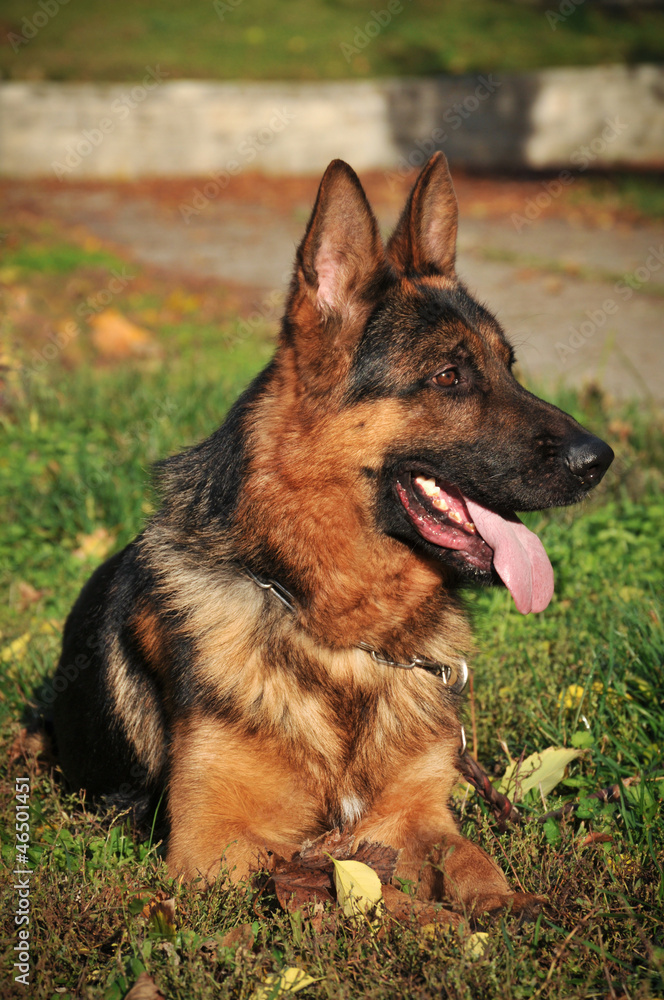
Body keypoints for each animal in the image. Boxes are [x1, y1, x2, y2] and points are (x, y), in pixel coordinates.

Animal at [52, 154, 612, 916]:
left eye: (509, 367)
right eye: (448, 375)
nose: (600, 459)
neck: (335, 630)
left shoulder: (418, 816)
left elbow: (474, 863)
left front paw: (507, 910)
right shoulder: (215, 848)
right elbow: (369, 893)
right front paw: (438, 926)